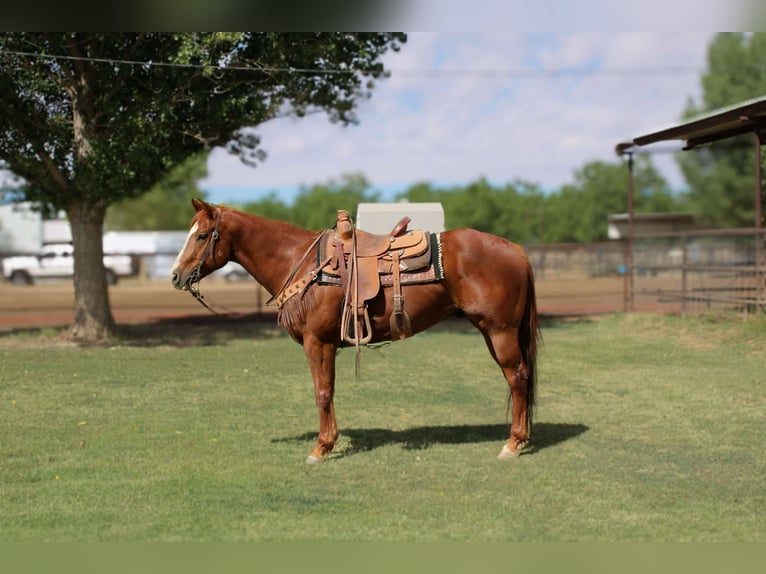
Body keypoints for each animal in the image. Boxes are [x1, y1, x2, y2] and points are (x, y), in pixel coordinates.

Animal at [171, 198, 539, 463]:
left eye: (201, 236)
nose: (175, 276)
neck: (301, 263)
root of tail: (518, 250)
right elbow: (328, 391)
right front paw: (329, 443)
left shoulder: (317, 342)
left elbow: (322, 392)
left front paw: (321, 448)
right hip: (491, 331)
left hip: (500, 331)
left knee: (518, 377)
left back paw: (513, 443)